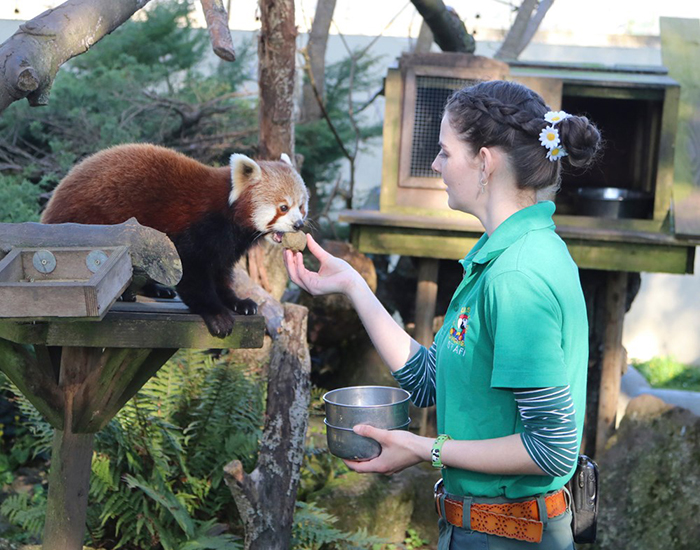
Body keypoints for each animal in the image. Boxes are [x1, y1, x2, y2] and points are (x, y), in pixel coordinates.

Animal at [41, 142, 308, 338]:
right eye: (283, 207)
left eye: (301, 206)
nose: (299, 224)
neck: (227, 211)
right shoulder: (194, 230)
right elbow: (192, 275)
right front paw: (216, 313)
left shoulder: (225, 246)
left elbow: (221, 273)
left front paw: (237, 301)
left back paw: (154, 289)